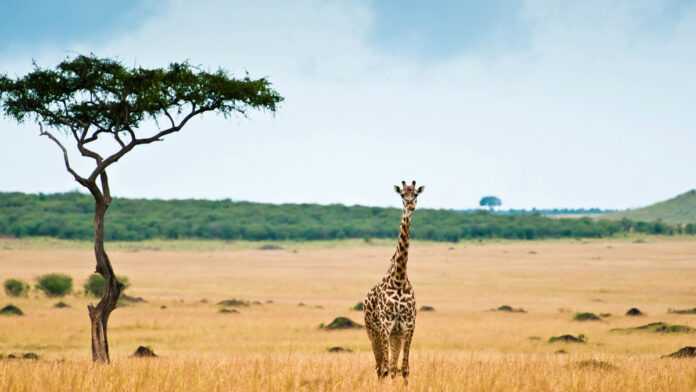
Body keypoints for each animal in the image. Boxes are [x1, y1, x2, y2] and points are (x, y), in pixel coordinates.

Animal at [364, 180, 424, 382]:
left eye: (416, 194)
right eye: (402, 195)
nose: (410, 206)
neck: (398, 280)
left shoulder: (408, 326)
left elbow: (404, 368)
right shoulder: (385, 325)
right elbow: (385, 368)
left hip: (395, 336)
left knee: (392, 367)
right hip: (372, 332)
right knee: (380, 367)